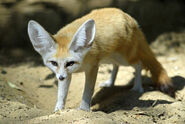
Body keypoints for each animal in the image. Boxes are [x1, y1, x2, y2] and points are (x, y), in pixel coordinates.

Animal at [27, 8, 173, 112]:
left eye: (70, 63)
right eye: (54, 63)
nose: (60, 78)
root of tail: (127, 16)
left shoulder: (92, 68)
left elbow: (87, 91)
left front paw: (84, 109)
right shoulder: (68, 74)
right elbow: (61, 94)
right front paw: (58, 110)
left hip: (124, 59)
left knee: (139, 64)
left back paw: (137, 88)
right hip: (109, 58)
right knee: (116, 66)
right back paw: (110, 83)